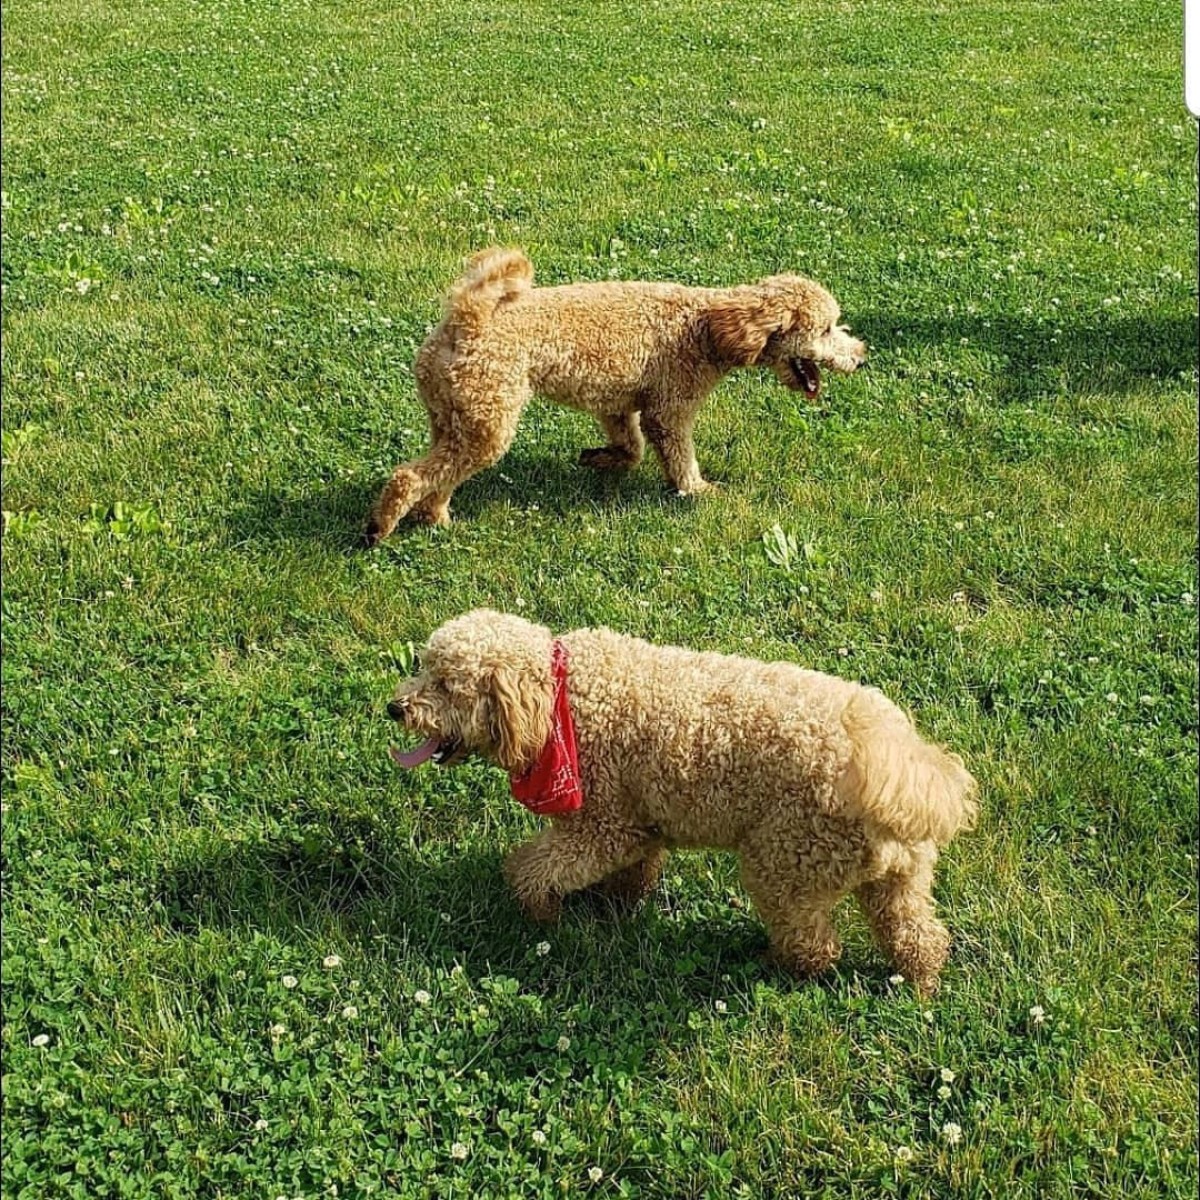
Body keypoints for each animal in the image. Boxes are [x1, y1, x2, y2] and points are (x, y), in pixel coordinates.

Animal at [388, 609, 979, 993]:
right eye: (424, 667)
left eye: (446, 684)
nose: (395, 708)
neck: (559, 697)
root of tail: (896, 753)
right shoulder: (639, 821)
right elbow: (636, 868)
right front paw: (619, 904)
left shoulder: (604, 826)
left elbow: (531, 868)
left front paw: (539, 912)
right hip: (899, 877)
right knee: (918, 934)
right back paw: (922, 984)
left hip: (782, 861)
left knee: (814, 946)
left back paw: (775, 966)